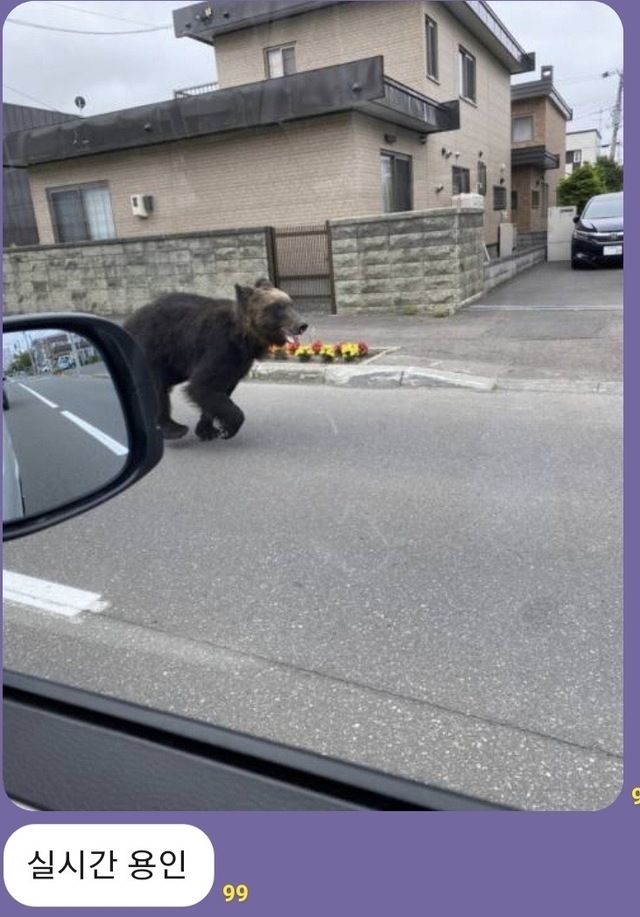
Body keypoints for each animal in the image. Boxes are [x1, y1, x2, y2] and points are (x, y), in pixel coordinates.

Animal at [125, 276, 308, 440]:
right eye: (277, 307)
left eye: (291, 303)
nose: (302, 325)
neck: (245, 338)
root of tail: (128, 322)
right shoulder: (218, 348)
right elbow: (202, 385)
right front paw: (228, 428)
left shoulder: (238, 363)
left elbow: (217, 391)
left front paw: (208, 430)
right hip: (152, 349)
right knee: (156, 388)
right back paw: (173, 428)